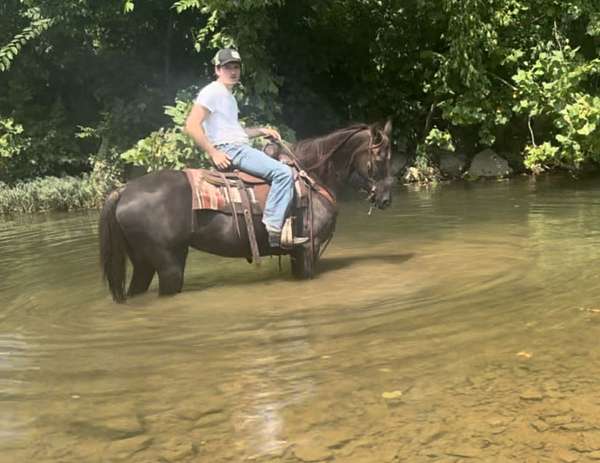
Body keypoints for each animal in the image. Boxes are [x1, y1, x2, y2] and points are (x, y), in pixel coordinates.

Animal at [99, 119, 394, 302]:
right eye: (381, 157)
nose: (386, 198)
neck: (312, 177)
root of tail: (123, 190)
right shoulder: (307, 249)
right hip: (169, 264)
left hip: (143, 262)